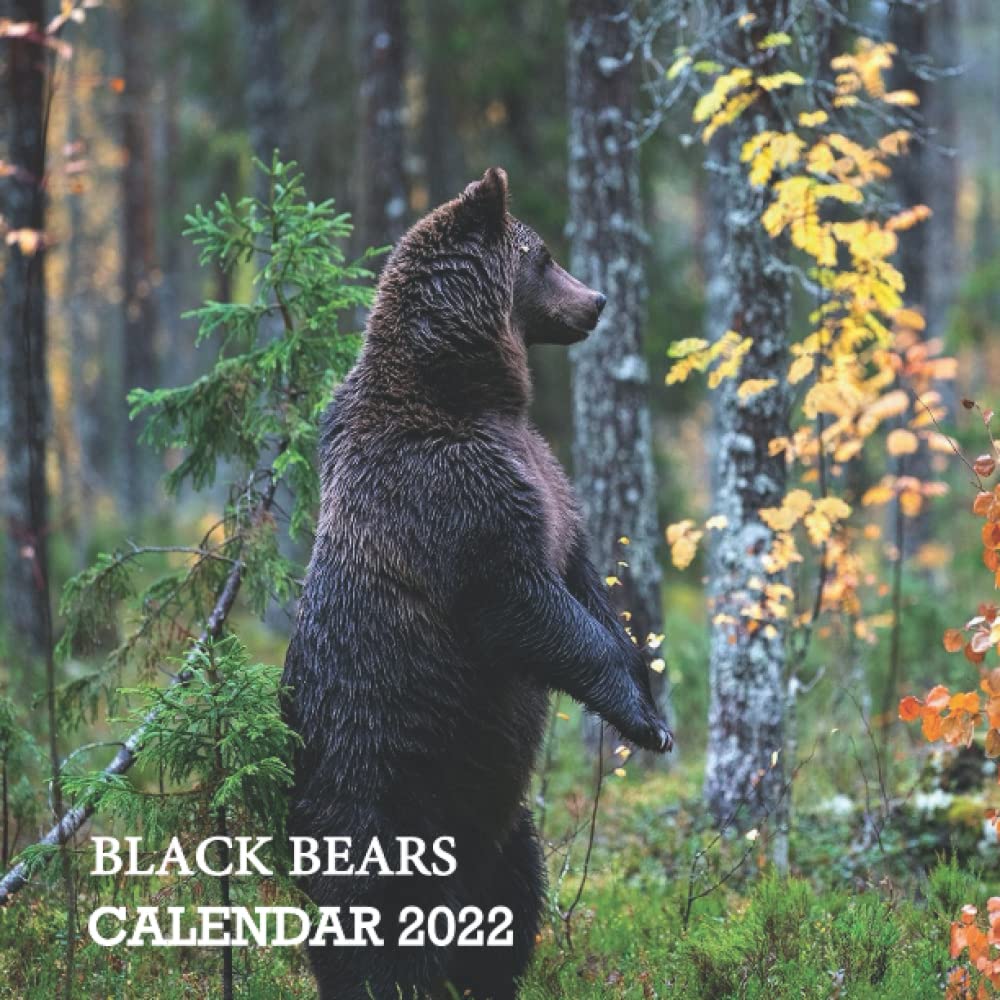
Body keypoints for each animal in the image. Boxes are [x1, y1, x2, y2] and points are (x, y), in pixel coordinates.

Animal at [282, 166, 672, 1000]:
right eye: (545, 256)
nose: (597, 300)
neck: (470, 392)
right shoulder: (458, 500)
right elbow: (529, 606)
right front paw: (643, 719)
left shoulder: (547, 479)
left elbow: (583, 584)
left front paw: (650, 697)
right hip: (385, 797)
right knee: (378, 924)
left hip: (499, 816)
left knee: (514, 890)